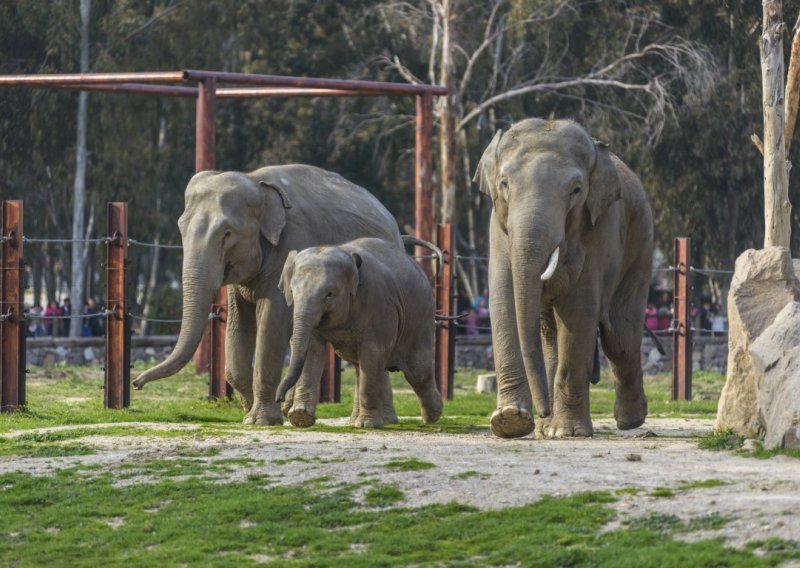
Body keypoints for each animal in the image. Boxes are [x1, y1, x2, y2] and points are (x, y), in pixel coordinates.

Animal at [136, 164, 406, 426]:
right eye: (181, 228)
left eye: (227, 233)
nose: (136, 383)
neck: (255, 180)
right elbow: (238, 326)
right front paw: (249, 412)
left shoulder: (291, 244)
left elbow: (271, 325)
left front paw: (261, 419)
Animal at [276, 235, 444, 426]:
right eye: (292, 292)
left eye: (329, 294)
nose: (279, 398)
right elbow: (312, 349)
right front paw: (300, 417)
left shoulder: (378, 303)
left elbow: (372, 353)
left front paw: (367, 424)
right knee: (358, 366)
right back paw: (353, 422)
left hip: (420, 319)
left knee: (417, 371)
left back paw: (432, 416)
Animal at [476, 118, 648, 440]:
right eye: (504, 184)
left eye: (576, 190)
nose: (541, 411)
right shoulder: (497, 227)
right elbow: (504, 301)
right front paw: (510, 421)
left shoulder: (597, 232)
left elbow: (579, 311)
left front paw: (567, 432)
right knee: (550, 332)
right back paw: (547, 428)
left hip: (640, 246)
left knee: (620, 336)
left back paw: (629, 421)